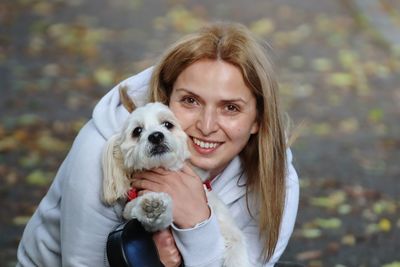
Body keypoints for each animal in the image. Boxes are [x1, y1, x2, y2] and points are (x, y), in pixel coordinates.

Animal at [103, 87, 252, 266]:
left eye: (168, 124)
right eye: (137, 131)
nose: (156, 136)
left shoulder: (227, 226)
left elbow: (237, 247)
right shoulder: (132, 208)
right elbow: (140, 212)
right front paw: (151, 209)